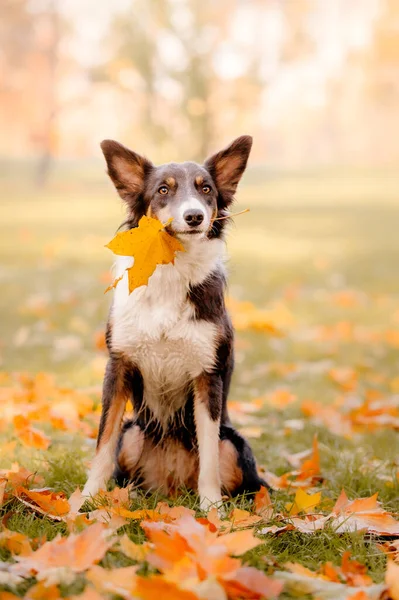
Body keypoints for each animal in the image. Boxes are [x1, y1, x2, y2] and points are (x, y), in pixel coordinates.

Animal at [82, 137, 266, 510]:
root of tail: (172, 488)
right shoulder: (118, 365)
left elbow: (208, 453)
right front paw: (85, 501)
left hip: (234, 444)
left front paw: (211, 510)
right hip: (134, 433)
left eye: (206, 189)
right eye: (163, 190)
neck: (172, 266)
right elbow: (103, 441)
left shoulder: (208, 375)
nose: (194, 216)